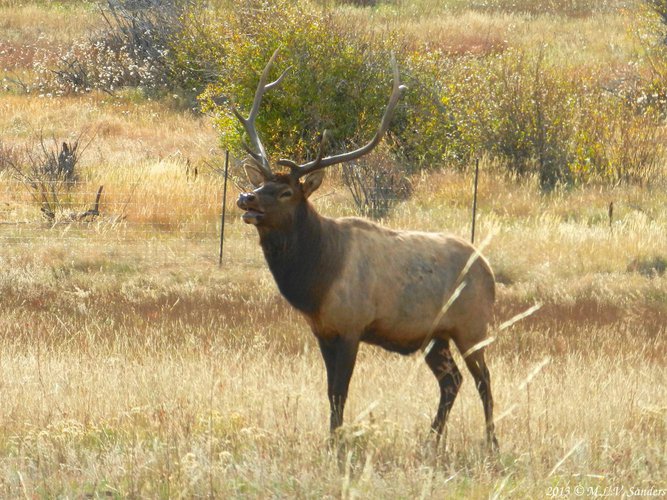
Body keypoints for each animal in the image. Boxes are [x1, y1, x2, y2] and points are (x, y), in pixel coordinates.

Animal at [232, 49, 498, 450]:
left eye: (286, 191)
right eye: (262, 184)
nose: (246, 198)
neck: (316, 279)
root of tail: (490, 272)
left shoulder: (351, 325)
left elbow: (340, 391)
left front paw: (336, 444)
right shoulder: (322, 330)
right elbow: (330, 392)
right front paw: (332, 438)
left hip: (472, 325)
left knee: (484, 381)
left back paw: (491, 444)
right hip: (435, 336)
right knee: (452, 381)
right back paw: (431, 440)